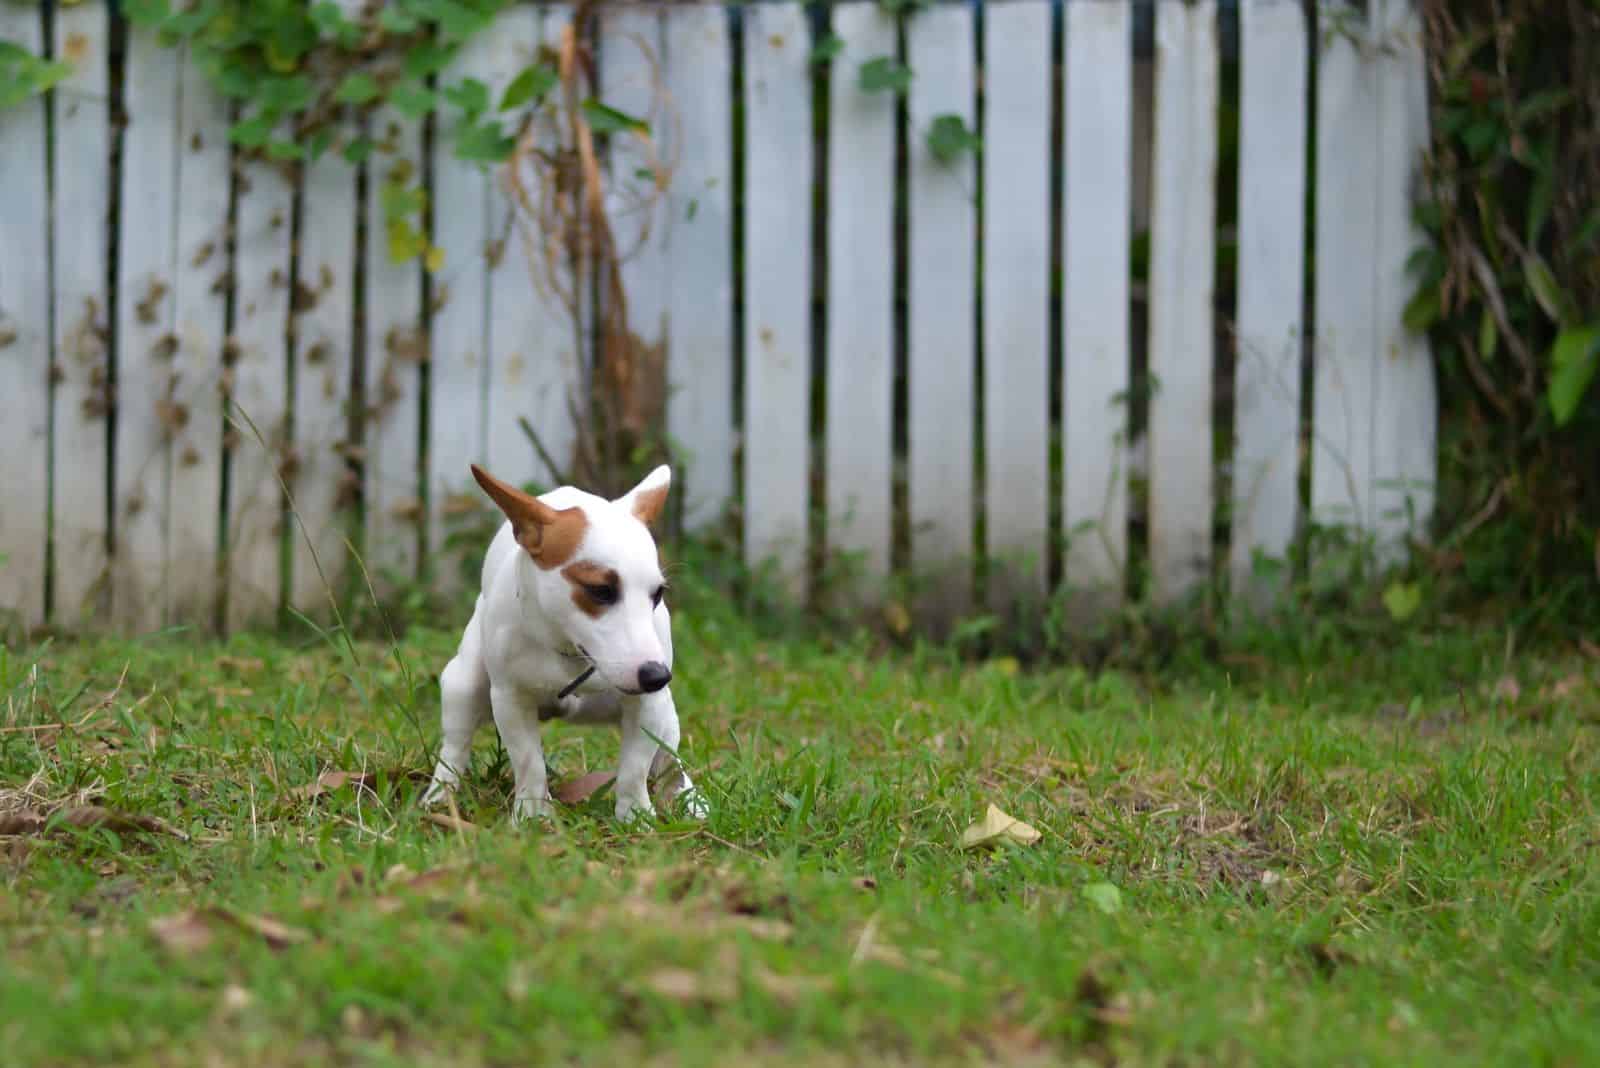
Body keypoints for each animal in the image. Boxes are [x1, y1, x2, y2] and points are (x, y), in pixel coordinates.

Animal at [422, 463, 704, 824]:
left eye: (658, 594)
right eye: (600, 590)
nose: (656, 676)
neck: (572, 654)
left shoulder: (648, 705)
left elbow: (635, 769)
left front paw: (635, 816)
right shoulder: (511, 699)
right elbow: (529, 763)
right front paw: (532, 816)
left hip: (666, 713)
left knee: (668, 757)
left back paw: (686, 795)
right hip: (464, 683)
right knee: (455, 748)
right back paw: (440, 797)